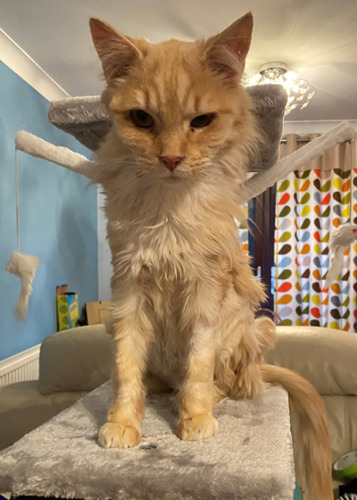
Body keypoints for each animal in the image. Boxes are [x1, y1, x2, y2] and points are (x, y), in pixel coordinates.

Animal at [90, 13, 332, 498]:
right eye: (142, 119)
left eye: (201, 121)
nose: (170, 159)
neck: (168, 210)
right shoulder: (128, 291)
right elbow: (125, 369)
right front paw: (123, 423)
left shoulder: (205, 291)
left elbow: (198, 367)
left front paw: (194, 417)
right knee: (161, 379)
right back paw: (157, 390)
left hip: (252, 329)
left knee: (238, 385)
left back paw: (196, 401)